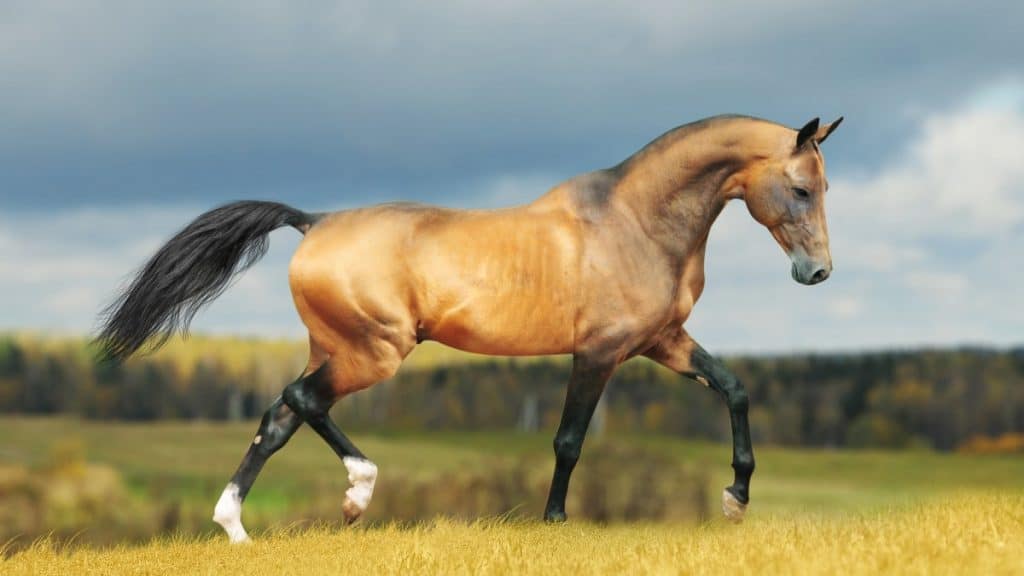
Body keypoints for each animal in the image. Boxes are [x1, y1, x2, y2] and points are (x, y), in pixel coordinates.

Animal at [97, 113, 839, 537]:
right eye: (802, 188)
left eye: (826, 188)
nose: (818, 273)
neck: (635, 222)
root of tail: (314, 221)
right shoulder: (599, 352)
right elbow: (569, 440)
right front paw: (554, 521)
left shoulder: (661, 342)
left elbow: (736, 389)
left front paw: (735, 499)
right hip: (376, 351)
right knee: (301, 400)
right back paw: (358, 493)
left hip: (336, 346)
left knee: (279, 415)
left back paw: (238, 526)